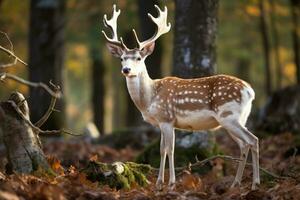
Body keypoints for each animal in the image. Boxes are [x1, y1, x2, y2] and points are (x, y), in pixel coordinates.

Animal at [101, 4, 260, 189]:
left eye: (139, 58)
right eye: (121, 59)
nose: (126, 70)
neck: (149, 99)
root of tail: (250, 91)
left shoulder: (167, 118)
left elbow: (169, 149)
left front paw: (171, 183)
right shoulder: (162, 123)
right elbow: (162, 149)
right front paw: (159, 183)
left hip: (229, 116)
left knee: (253, 140)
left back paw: (255, 183)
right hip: (238, 118)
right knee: (244, 145)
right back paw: (236, 183)